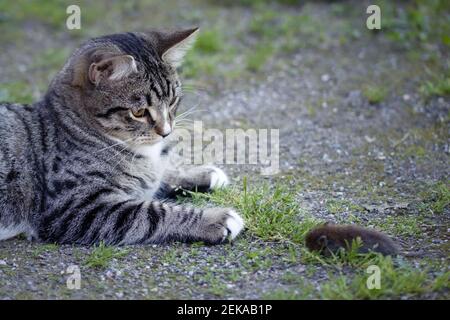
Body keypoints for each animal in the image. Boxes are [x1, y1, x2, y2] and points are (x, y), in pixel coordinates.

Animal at [0, 28, 244, 246]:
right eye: (139, 112)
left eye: (173, 101)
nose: (166, 131)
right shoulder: (76, 208)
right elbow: (152, 213)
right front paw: (216, 219)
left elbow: (159, 176)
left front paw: (201, 174)